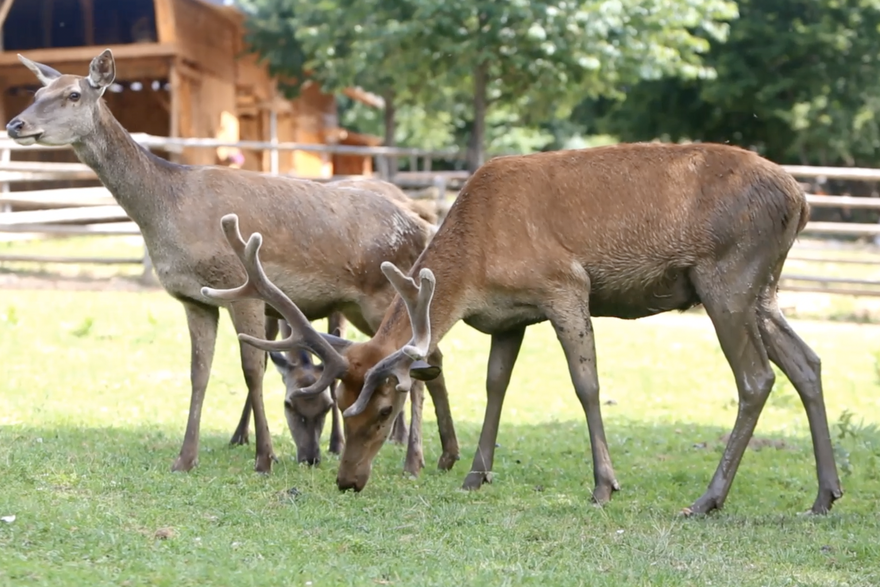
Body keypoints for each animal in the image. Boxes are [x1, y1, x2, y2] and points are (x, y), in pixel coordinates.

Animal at [6, 47, 460, 478]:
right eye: (37, 92)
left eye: (73, 94)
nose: (16, 125)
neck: (168, 212)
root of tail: (423, 224)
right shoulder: (194, 299)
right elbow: (199, 372)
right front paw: (185, 459)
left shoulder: (242, 289)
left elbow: (252, 370)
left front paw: (264, 457)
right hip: (359, 307)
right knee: (430, 359)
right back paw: (445, 455)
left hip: (383, 297)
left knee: (419, 363)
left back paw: (414, 461)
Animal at [203, 142, 844, 516]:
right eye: (341, 404)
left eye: (385, 412)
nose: (347, 481)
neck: (476, 263)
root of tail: (801, 199)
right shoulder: (509, 318)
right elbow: (495, 386)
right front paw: (474, 474)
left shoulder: (565, 286)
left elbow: (586, 385)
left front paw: (604, 485)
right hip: (762, 289)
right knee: (807, 362)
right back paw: (824, 495)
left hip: (727, 277)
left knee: (757, 378)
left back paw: (707, 500)